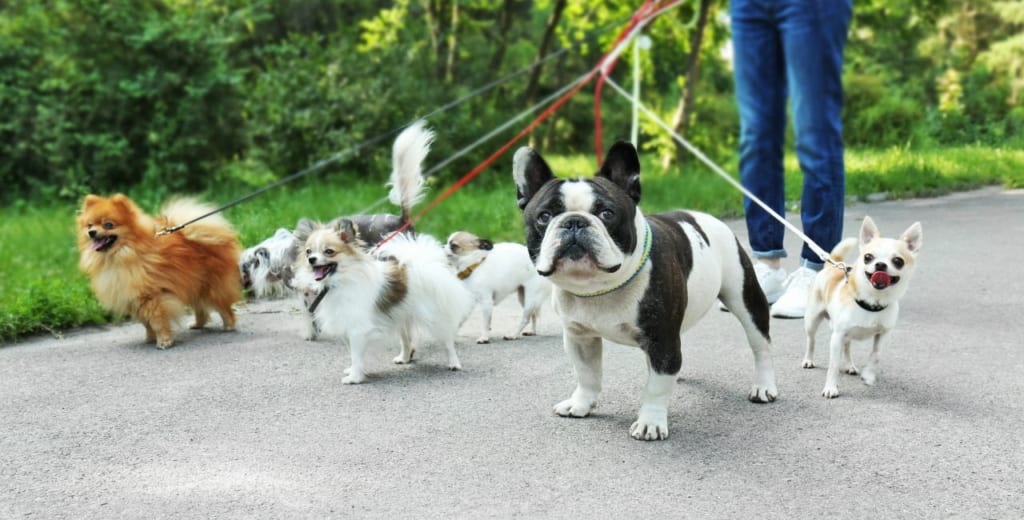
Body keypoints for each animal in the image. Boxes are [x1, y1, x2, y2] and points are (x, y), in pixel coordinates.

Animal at [77, 194, 241, 350]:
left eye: (108, 225)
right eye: (90, 225)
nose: (92, 232)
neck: (123, 256)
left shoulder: (152, 297)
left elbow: (157, 321)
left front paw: (164, 341)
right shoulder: (134, 299)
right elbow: (146, 323)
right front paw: (150, 338)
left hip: (210, 286)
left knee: (223, 307)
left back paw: (229, 325)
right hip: (193, 284)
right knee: (201, 308)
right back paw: (197, 324)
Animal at [292, 217, 475, 384]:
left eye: (329, 251)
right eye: (308, 252)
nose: (311, 260)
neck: (340, 281)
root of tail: (423, 263)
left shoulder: (357, 330)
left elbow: (356, 356)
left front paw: (355, 378)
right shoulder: (346, 326)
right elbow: (352, 354)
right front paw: (353, 370)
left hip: (435, 318)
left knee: (447, 341)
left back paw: (454, 363)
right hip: (402, 316)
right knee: (407, 340)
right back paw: (404, 358)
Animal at [802, 214, 925, 397]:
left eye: (898, 261)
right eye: (868, 257)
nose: (880, 264)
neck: (872, 302)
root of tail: (832, 265)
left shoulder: (882, 334)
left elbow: (875, 355)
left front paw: (868, 375)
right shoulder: (837, 337)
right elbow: (833, 365)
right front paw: (831, 387)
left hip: (846, 334)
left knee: (847, 347)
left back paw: (850, 366)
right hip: (812, 320)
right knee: (811, 340)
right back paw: (808, 360)